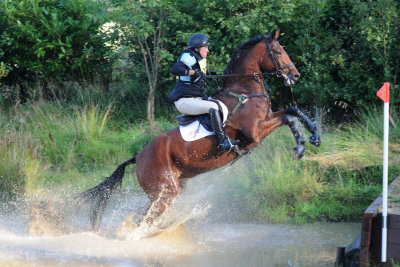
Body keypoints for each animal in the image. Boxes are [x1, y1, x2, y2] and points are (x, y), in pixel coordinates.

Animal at [80, 29, 322, 232]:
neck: (244, 91)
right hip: (165, 193)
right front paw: (300, 146)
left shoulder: (266, 120)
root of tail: (137, 157)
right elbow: (288, 118)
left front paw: (314, 135)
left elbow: (293, 110)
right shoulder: (255, 131)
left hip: (165, 192)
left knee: (141, 217)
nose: (296, 75)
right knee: (144, 221)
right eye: (279, 51)